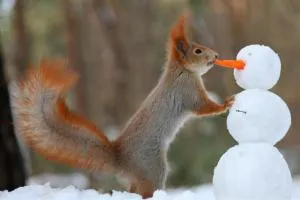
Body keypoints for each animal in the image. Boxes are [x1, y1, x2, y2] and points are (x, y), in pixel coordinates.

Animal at [11, 14, 234, 198]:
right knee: (145, 190)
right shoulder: (188, 93)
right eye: (198, 50)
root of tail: (120, 158)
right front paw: (225, 104)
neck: (182, 71)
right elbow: (203, 107)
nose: (216, 56)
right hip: (152, 167)